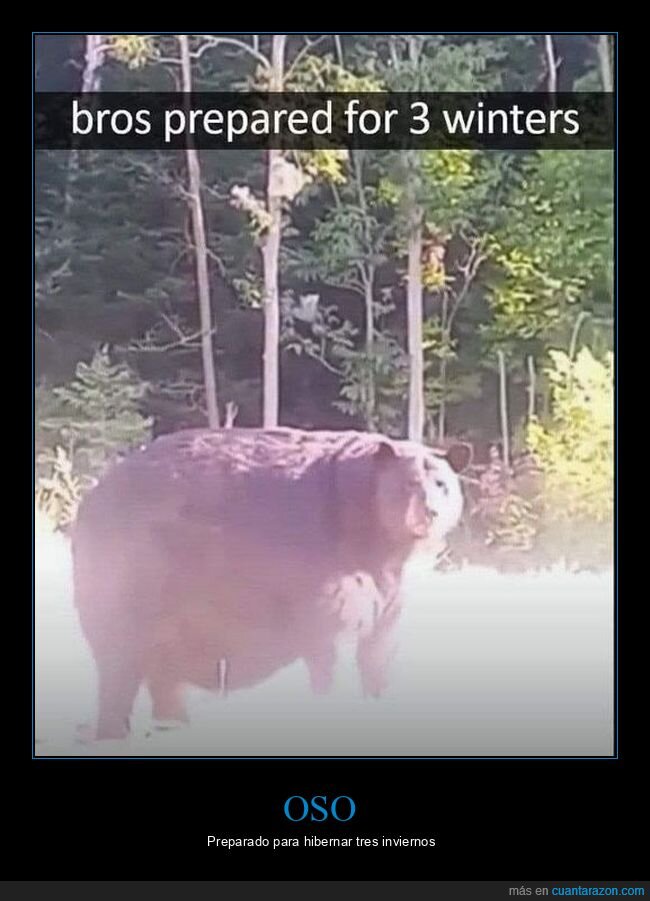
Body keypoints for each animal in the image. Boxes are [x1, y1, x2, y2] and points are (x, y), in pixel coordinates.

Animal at [70, 427, 471, 740]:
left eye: (442, 484)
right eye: (408, 483)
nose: (430, 511)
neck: (381, 541)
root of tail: (94, 494)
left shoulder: (391, 590)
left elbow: (381, 648)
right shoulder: (327, 567)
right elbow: (333, 638)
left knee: (163, 673)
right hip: (131, 571)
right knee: (119, 656)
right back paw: (114, 730)